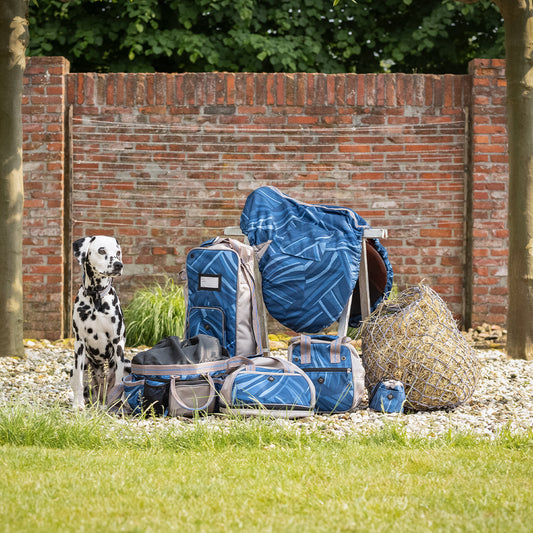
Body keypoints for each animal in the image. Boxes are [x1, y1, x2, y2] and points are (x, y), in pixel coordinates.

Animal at [70, 236, 125, 408]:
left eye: (118, 252)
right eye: (101, 250)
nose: (118, 264)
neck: (96, 299)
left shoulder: (117, 343)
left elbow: (119, 380)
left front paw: (119, 405)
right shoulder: (79, 343)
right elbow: (78, 381)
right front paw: (77, 405)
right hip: (75, 368)